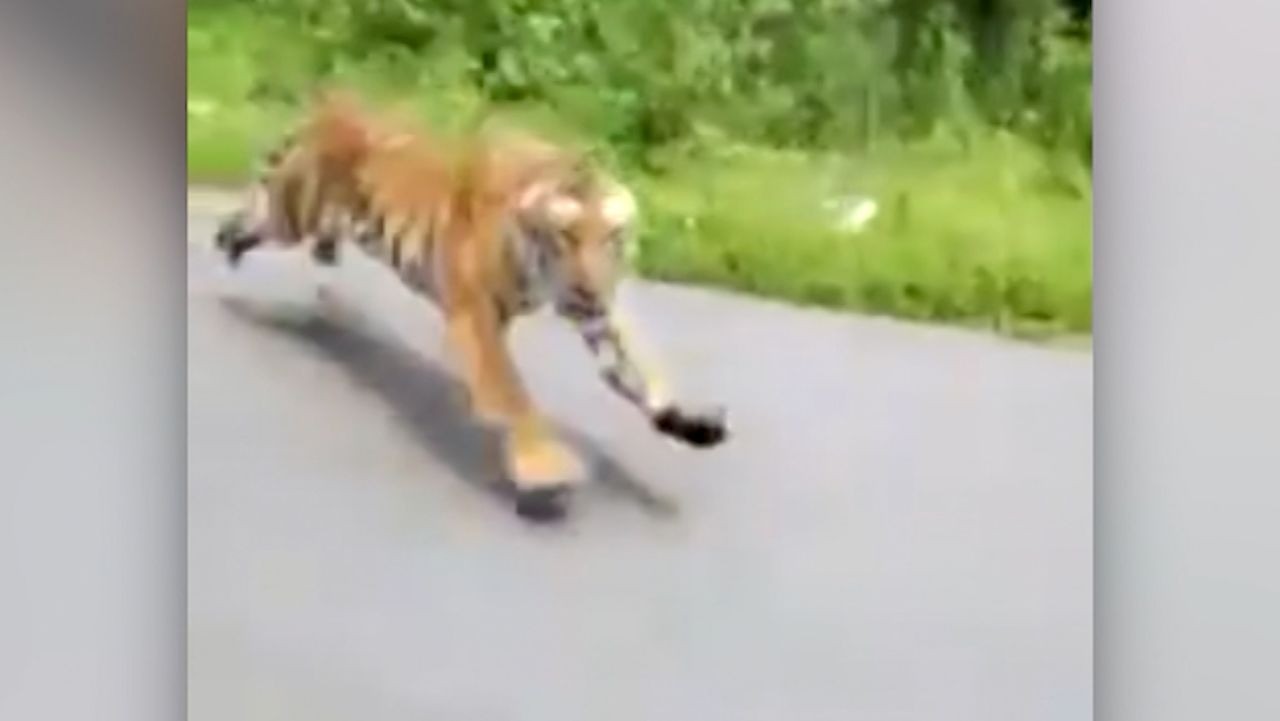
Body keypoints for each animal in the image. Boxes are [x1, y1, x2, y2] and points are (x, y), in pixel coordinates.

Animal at [213, 91, 729, 521]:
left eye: (613, 237)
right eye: (566, 236)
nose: (589, 288)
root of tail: (330, 104)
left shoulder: (598, 314)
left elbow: (641, 369)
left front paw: (689, 422)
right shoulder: (476, 314)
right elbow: (515, 397)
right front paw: (545, 471)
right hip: (288, 213)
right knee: (244, 222)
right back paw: (229, 261)